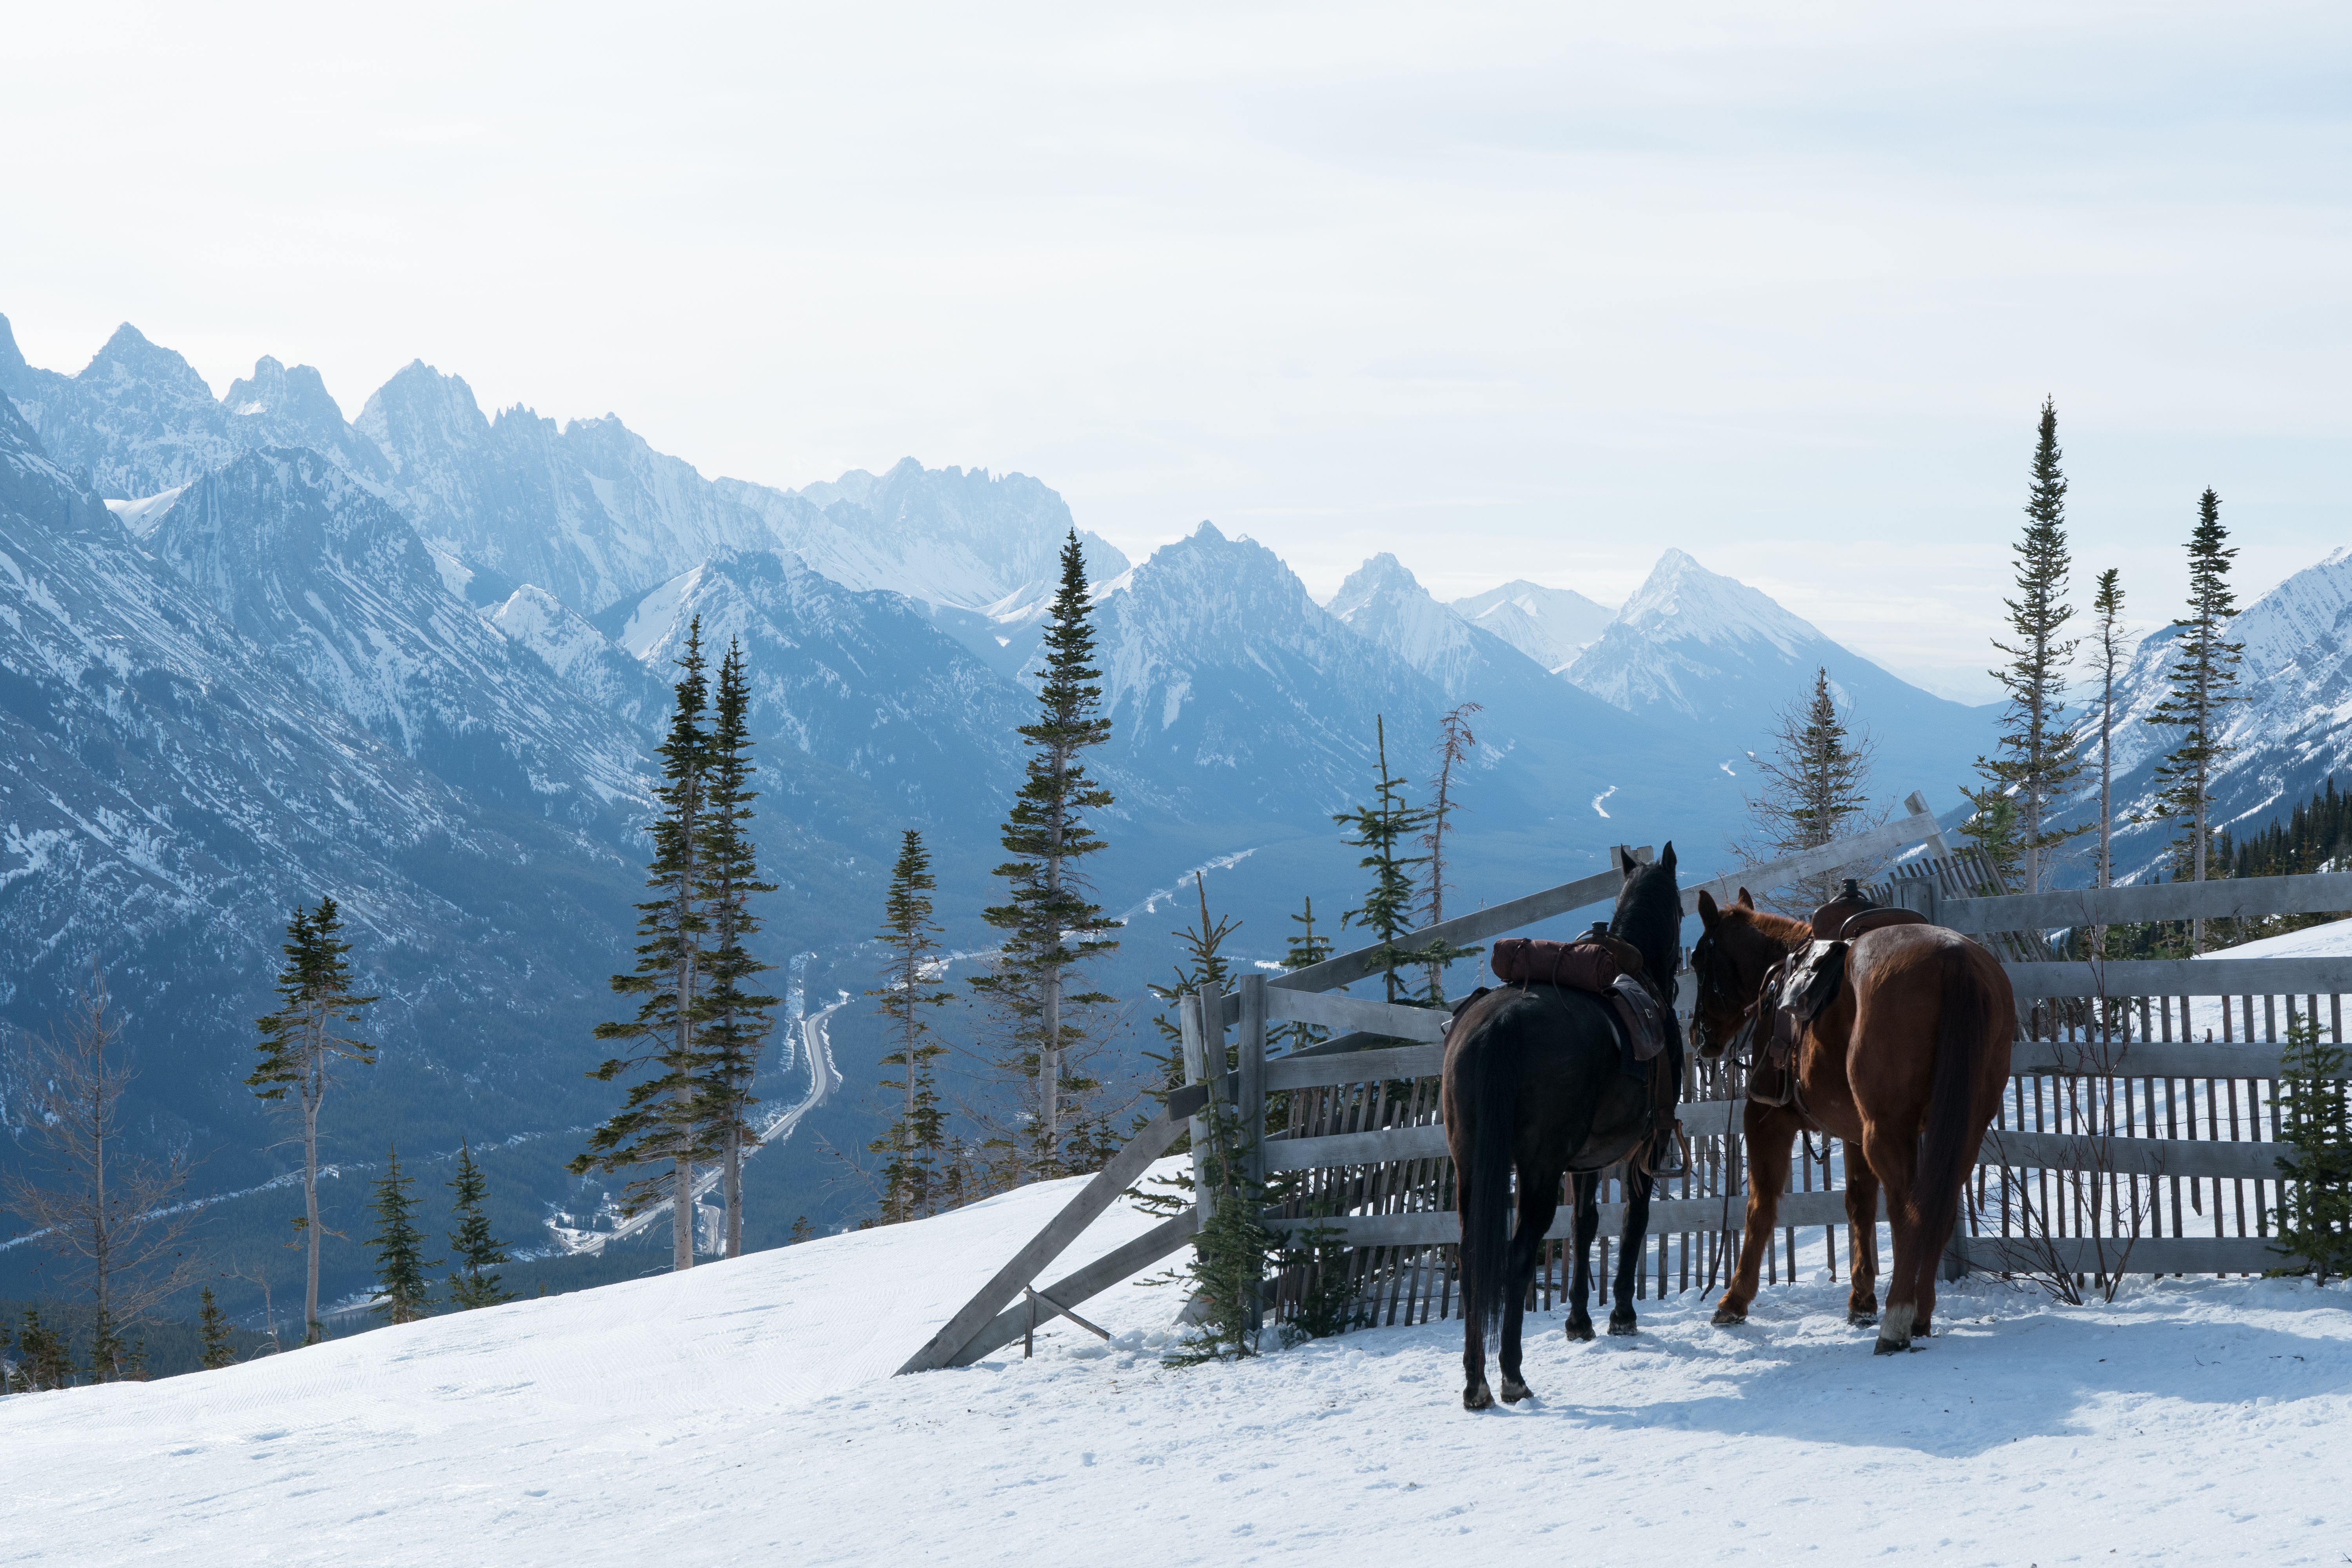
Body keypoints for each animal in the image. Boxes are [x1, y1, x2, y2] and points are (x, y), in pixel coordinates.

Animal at [1444, 843, 1684, 1411]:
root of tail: (1499, 1024)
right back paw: (1511, 1374)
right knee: (1516, 1257)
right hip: (1537, 1171)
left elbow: (1585, 1225)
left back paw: (1476, 1382)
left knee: (1472, 1257)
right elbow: (1633, 1221)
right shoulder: (1646, 1148)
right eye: (1684, 910)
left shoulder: (1585, 1162)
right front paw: (1621, 1315)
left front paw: (1579, 1321)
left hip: (1470, 1164)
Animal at [1687, 887, 2013, 1354]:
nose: (1699, 1036)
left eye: (1699, 960)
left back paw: (1898, 1319)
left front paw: (1733, 1300)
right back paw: (1920, 1315)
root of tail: (1955, 959)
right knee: (1939, 1207)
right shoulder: (1857, 1136)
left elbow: (1760, 1207)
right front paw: (1861, 1300)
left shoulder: (1767, 1120)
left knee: (1910, 1213)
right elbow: (1860, 1204)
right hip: (1965, 1128)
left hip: (1888, 1131)